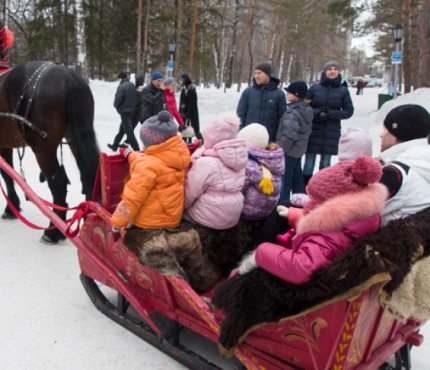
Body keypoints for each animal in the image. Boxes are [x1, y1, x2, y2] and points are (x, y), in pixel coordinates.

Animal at [0, 61, 99, 243]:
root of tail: (70, 78)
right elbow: (9, 176)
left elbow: (7, 175)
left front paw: (11, 208)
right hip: (74, 137)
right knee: (88, 175)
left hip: (42, 148)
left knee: (57, 181)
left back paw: (54, 231)